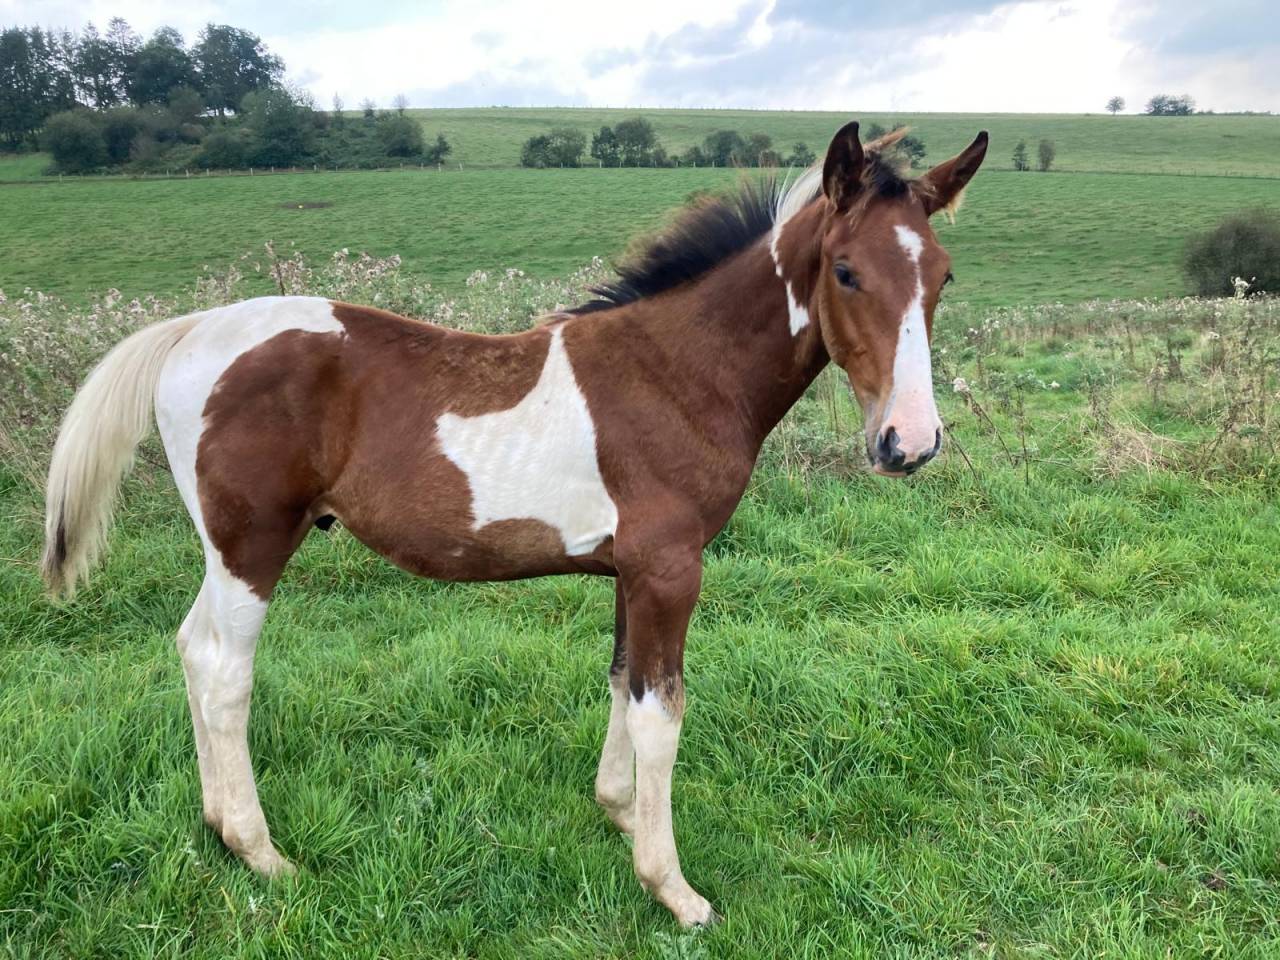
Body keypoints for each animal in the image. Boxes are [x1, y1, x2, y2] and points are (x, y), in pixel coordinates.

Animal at [41, 121, 987, 926]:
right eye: (846, 271)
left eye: (943, 276)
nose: (909, 443)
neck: (677, 373)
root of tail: (192, 329)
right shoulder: (670, 568)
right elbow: (662, 712)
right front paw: (673, 890)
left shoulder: (631, 571)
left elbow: (621, 683)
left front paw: (617, 814)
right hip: (252, 546)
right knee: (224, 670)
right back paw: (262, 853)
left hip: (224, 551)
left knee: (189, 647)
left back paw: (216, 827)